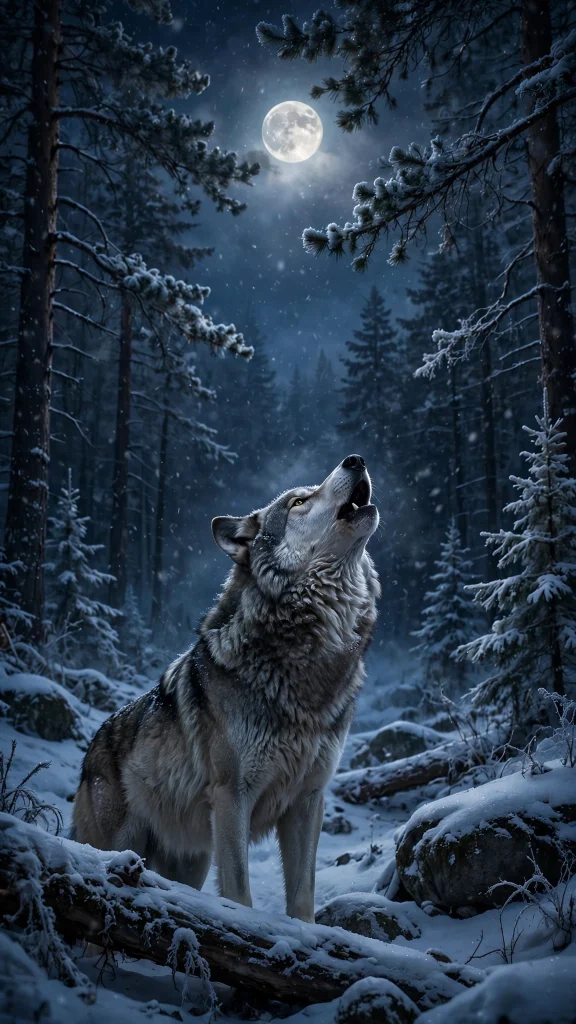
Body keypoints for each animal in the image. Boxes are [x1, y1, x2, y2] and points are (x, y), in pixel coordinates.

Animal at [73, 454, 380, 922]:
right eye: (299, 502)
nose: (356, 459)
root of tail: (91, 749)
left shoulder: (308, 799)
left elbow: (303, 897)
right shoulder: (233, 795)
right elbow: (239, 893)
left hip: (191, 862)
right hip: (123, 844)